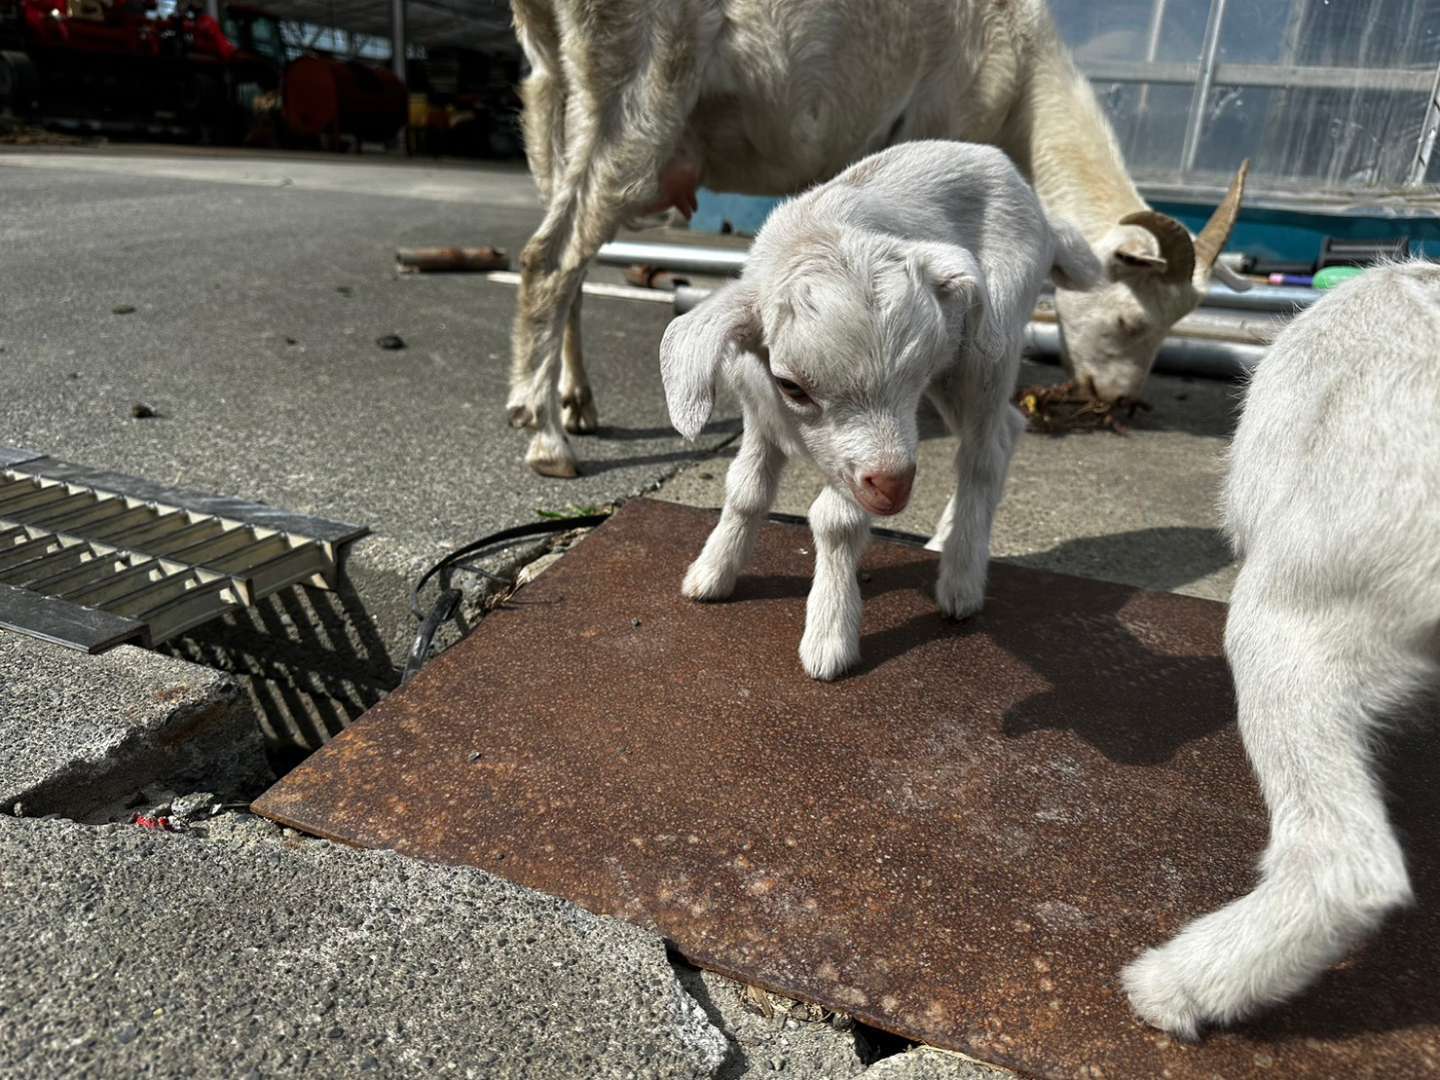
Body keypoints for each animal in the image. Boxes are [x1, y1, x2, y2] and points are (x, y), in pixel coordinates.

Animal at [506, 0, 1249, 475]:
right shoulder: (948, 115)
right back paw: (545, 438)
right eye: (1129, 320)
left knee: (567, 253)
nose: (1118, 400)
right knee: (551, 256)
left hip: (552, 90)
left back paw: (576, 402)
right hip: (641, 72)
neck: (1024, 79)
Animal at [662, 141, 1100, 685]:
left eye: (915, 370)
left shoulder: (858, 461)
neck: (818, 233)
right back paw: (945, 538)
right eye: (791, 386)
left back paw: (961, 580)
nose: (894, 486)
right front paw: (712, 572)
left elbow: (835, 521)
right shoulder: (761, 412)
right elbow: (745, 490)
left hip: (987, 350)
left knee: (983, 453)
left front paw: (828, 638)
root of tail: (1037, 207)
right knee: (1008, 429)